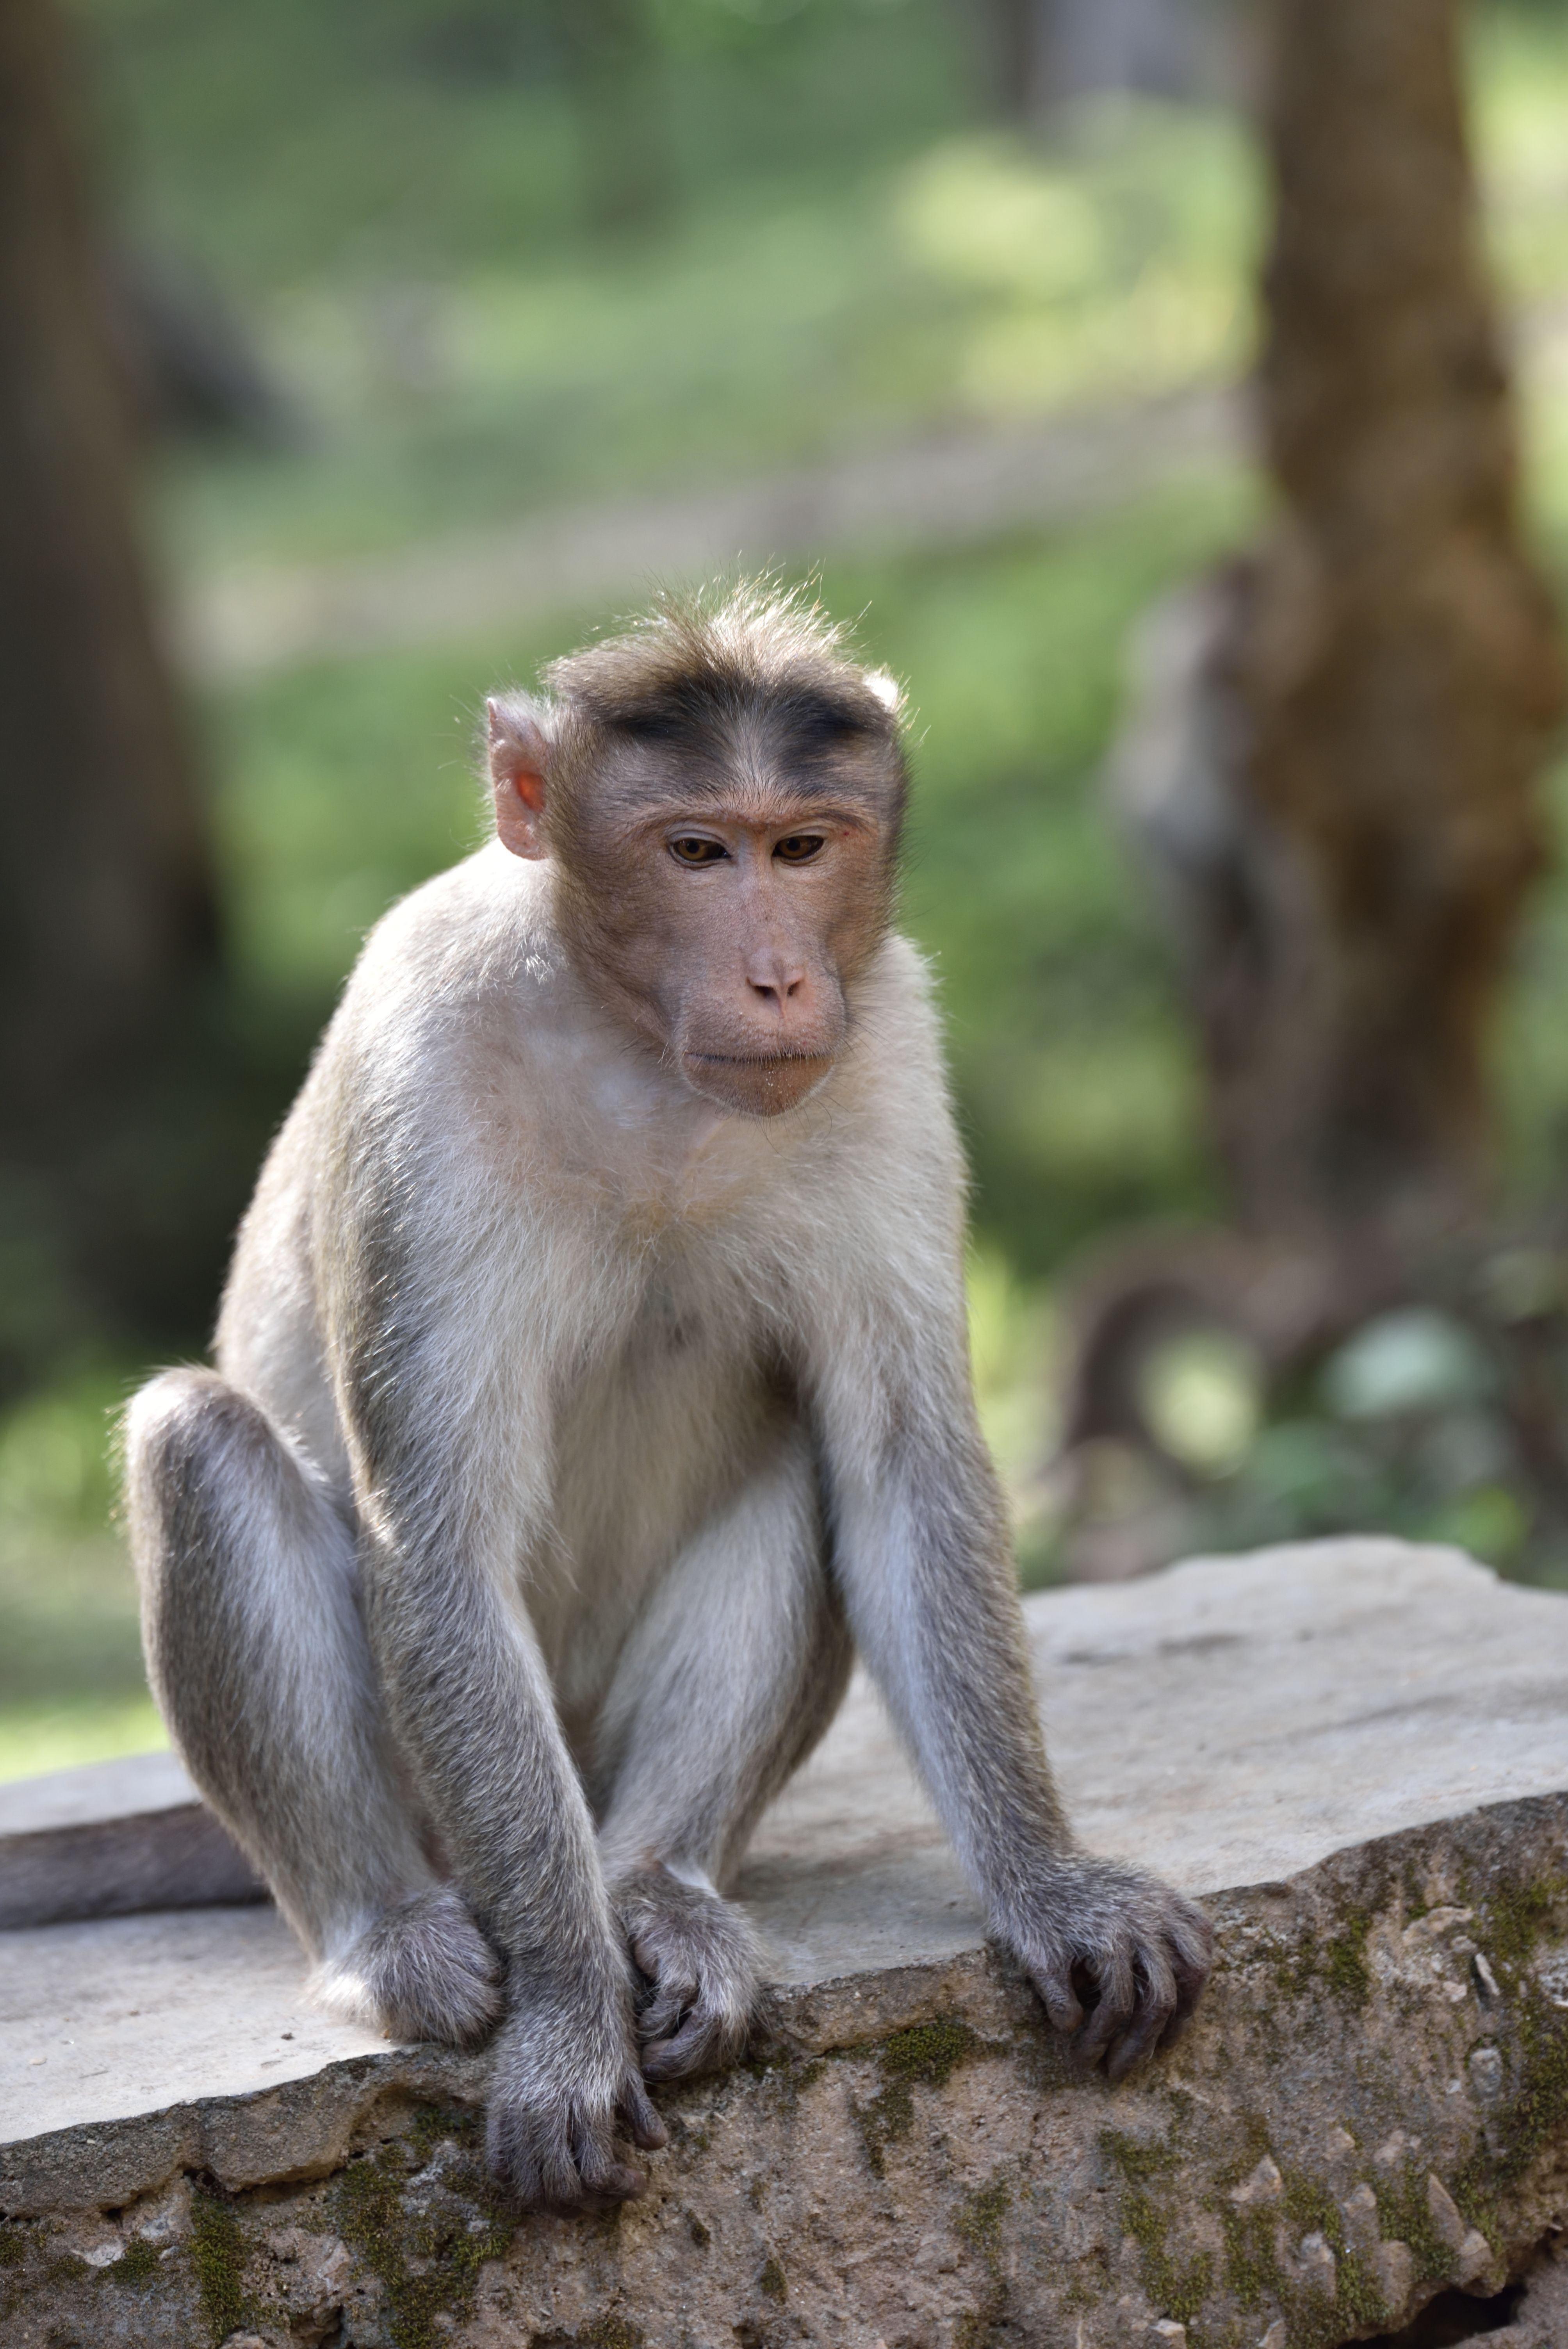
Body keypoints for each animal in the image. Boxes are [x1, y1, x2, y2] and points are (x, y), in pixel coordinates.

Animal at [124, 584, 1213, 2213]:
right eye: (697, 849)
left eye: (802, 845)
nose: (778, 977)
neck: (637, 1047)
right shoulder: (422, 1063)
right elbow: (436, 1540)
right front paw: (572, 2018)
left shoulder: (887, 1048)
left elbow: (898, 1468)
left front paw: (1050, 1881)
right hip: (449, 1806)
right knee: (202, 1440)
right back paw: (394, 1930)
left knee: (802, 1457)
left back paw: (656, 1887)